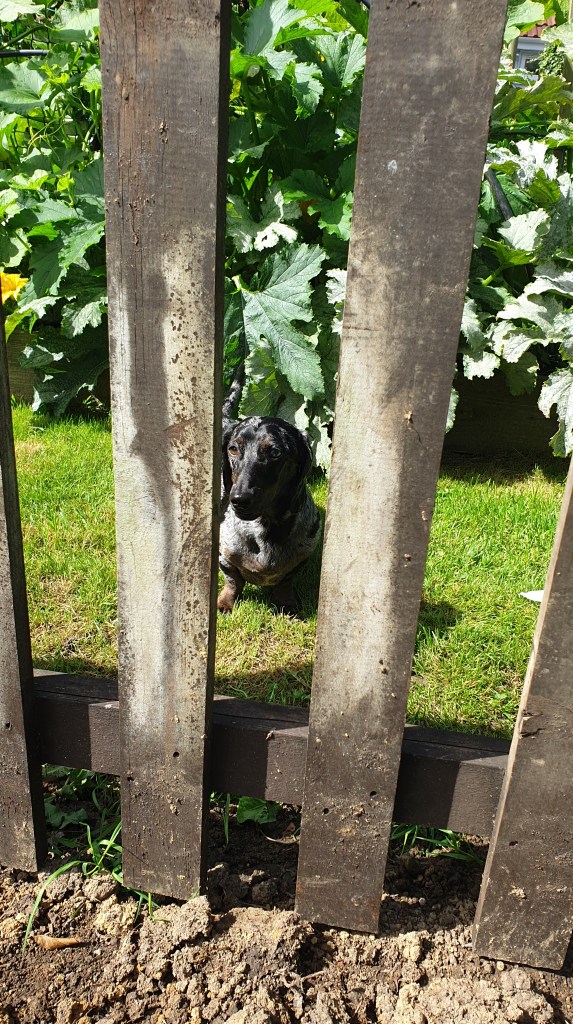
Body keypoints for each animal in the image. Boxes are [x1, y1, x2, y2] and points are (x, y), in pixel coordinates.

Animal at [218, 374, 321, 616]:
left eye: (275, 452)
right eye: (233, 449)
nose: (239, 500)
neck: (264, 527)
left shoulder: (302, 556)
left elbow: (285, 581)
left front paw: (286, 603)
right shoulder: (224, 556)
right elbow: (233, 580)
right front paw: (226, 602)